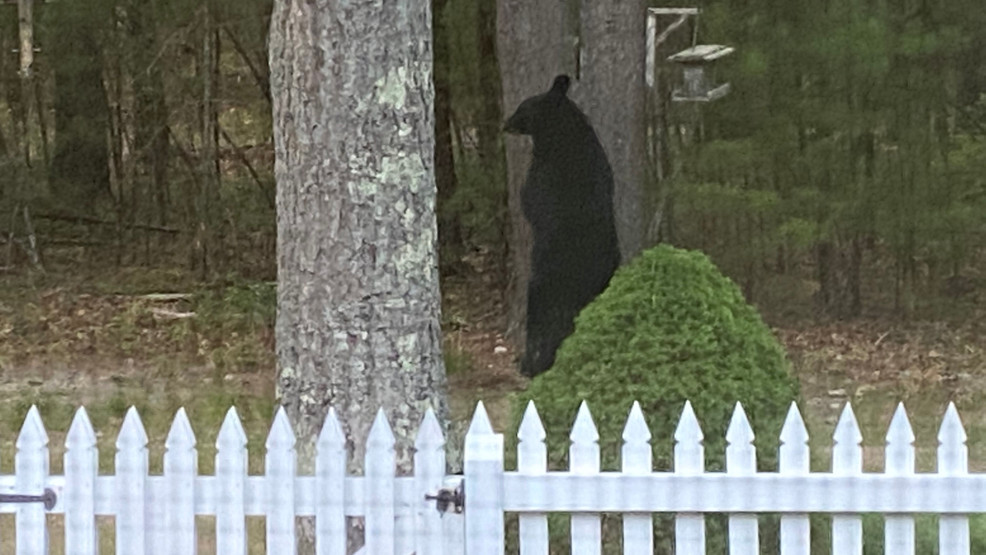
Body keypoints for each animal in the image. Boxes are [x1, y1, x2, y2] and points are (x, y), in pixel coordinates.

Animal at [504, 74, 621, 378]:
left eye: (523, 107)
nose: (505, 123)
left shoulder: (543, 174)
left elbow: (530, 200)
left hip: (544, 286)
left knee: (542, 324)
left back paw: (531, 363)